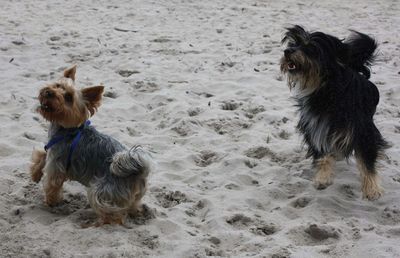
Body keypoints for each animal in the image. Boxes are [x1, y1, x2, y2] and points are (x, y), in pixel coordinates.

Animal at [29, 65, 152, 226]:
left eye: (68, 97)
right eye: (58, 85)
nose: (49, 92)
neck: (69, 129)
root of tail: (138, 171)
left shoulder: (56, 164)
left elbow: (51, 184)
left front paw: (51, 202)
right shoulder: (52, 152)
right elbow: (41, 156)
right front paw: (35, 174)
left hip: (102, 190)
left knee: (112, 215)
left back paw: (98, 223)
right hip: (132, 195)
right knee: (131, 206)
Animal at [282, 25, 388, 201]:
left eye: (311, 47)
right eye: (294, 43)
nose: (287, 51)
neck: (326, 90)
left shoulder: (362, 130)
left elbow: (367, 159)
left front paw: (372, 188)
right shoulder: (315, 125)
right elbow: (322, 153)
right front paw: (322, 177)